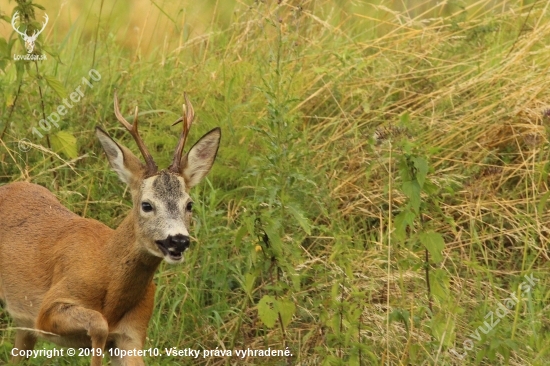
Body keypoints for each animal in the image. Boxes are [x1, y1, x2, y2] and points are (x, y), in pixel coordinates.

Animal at [0, 93, 220, 364]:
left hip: (23, 324)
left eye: (189, 204)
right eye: (146, 204)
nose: (178, 240)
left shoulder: (133, 334)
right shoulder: (47, 309)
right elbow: (99, 325)